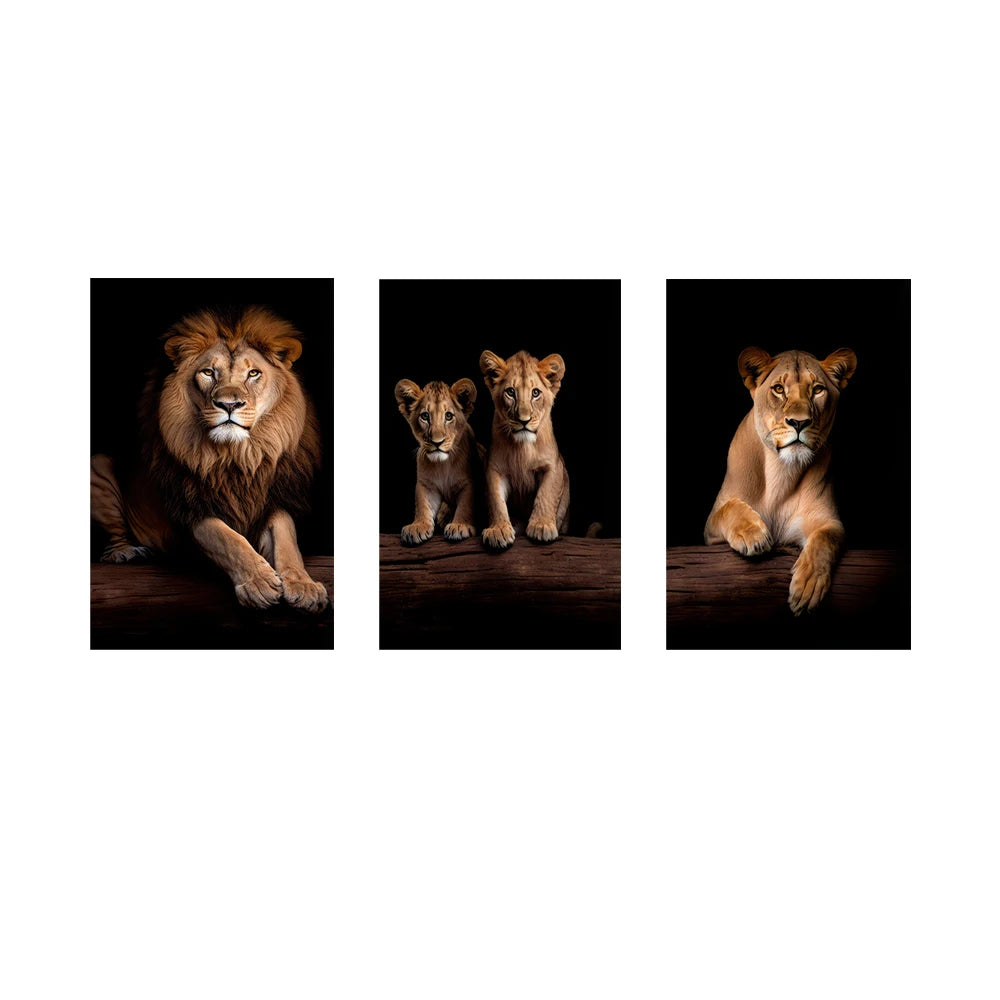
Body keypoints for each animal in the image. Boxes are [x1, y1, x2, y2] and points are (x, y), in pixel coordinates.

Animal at [91, 305, 329, 612]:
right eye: (208, 372)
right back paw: (126, 552)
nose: (229, 404)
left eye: (253, 373)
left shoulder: (272, 499)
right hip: (98, 464)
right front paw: (258, 583)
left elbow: (288, 539)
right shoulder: (192, 507)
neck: (236, 458)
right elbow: (227, 539)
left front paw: (304, 586)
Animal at [394, 377, 482, 544]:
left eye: (448, 416)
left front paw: (459, 525)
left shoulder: (468, 483)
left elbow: (465, 505)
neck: (443, 465)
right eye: (425, 416)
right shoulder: (426, 485)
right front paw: (417, 526)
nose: (437, 442)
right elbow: (423, 505)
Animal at [478, 349, 569, 550]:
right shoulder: (494, 468)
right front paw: (498, 530)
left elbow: (546, 494)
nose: (524, 420)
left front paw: (542, 526)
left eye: (535, 393)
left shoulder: (554, 465)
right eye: (510, 392)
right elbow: (495, 500)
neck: (522, 448)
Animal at [704, 346, 858, 615]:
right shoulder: (709, 532)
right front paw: (754, 535)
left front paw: (808, 585)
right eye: (778, 389)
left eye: (817, 389)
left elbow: (825, 538)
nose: (799, 422)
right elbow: (728, 508)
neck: (781, 472)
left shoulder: (827, 520)